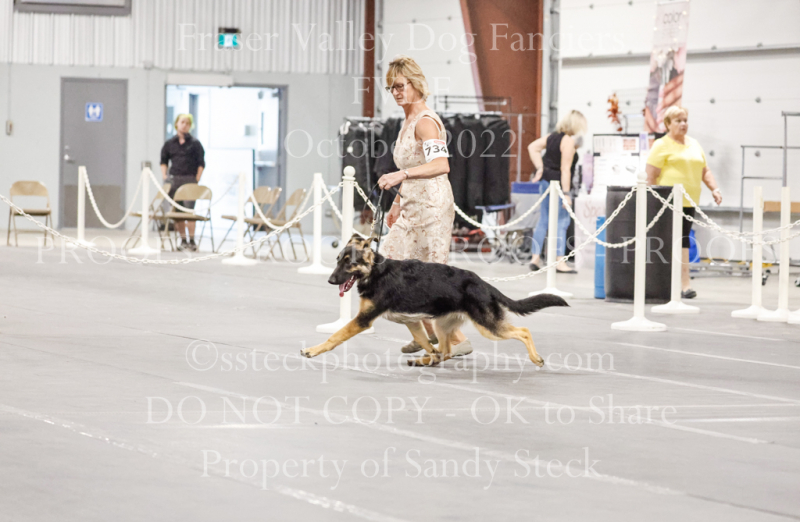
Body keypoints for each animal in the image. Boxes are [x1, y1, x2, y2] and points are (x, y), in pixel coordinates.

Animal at [300, 234, 568, 367]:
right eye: (338, 259)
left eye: (349, 263)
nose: (330, 280)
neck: (376, 271)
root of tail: (482, 282)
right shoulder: (412, 322)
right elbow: (426, 343)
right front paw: (429, 356)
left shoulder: (362, 321)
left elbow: (334, 337)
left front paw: (312, 350)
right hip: (441, 325)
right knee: (446, 351)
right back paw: (425, 361)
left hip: (489, 326)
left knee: (523, 331)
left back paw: (536, 358)